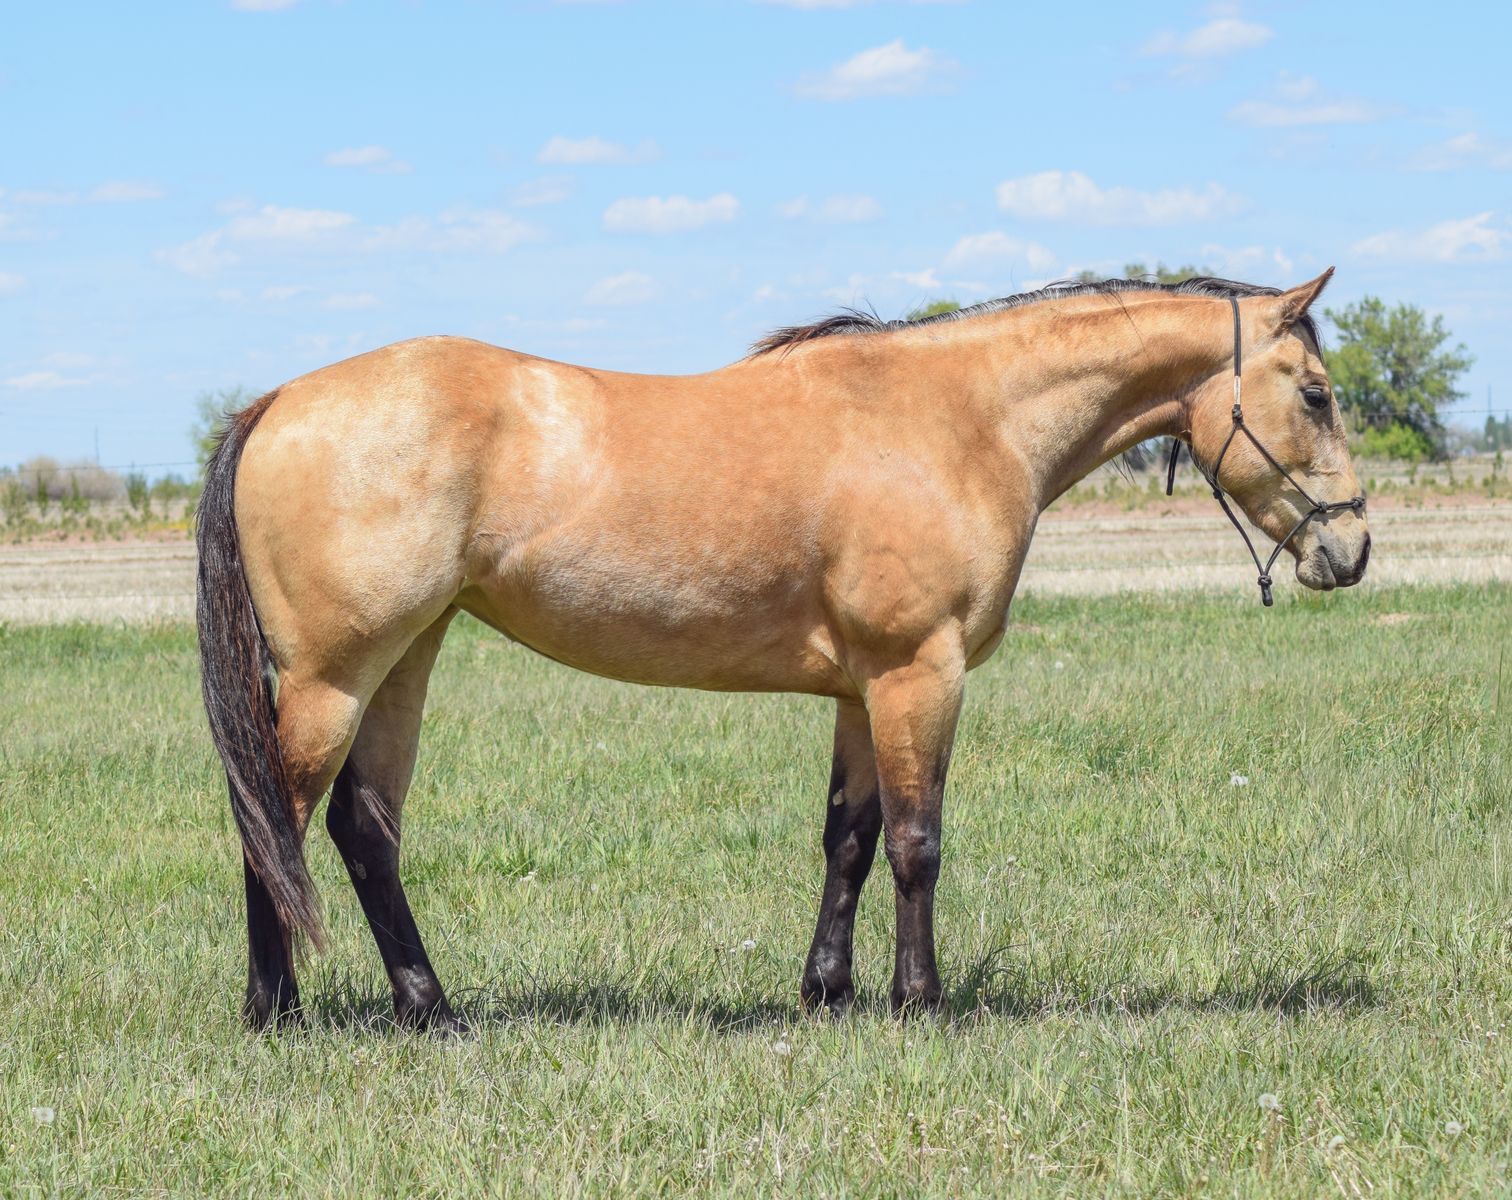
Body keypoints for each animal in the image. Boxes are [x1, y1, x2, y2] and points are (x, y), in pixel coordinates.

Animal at [196, 269, 1370, 1031]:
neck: (956, 420)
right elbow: (917, 842)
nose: (1351, 548)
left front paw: (827, 995)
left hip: (406, 659)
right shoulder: (918, 672)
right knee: (276, 820)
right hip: (334, 677)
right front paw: (920, 1004)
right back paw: (276, 1011)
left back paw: (430, 1010)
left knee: (363, 829)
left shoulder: (863, 689)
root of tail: (277, 402)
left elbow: (848, 840)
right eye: (1315, 393)